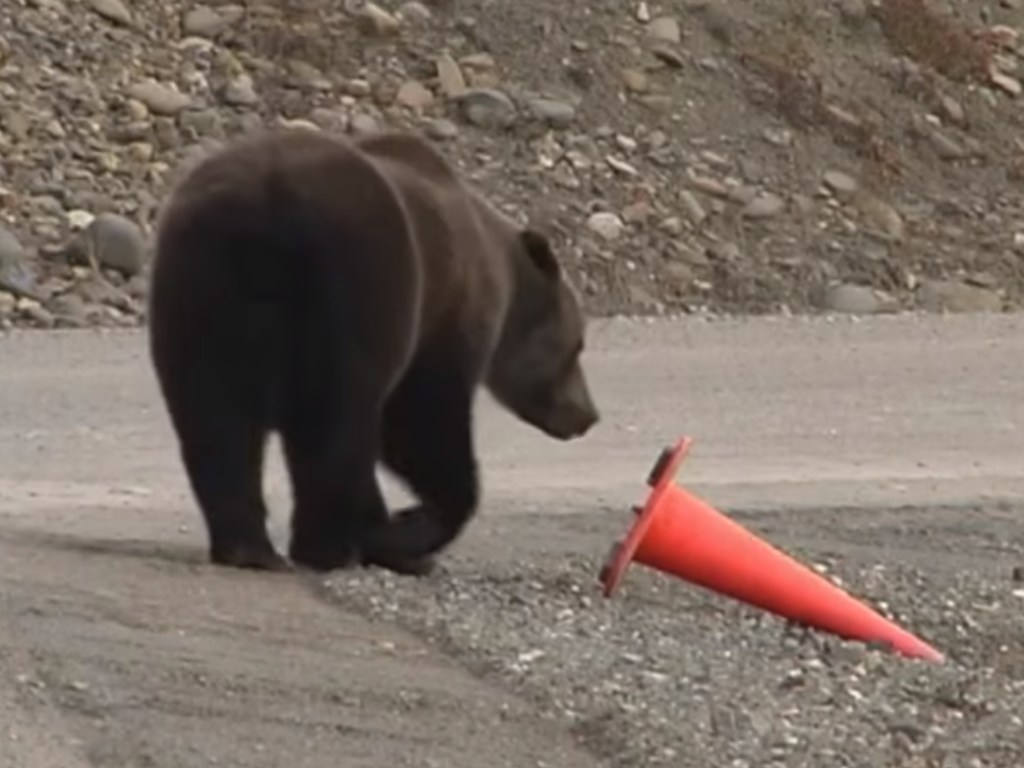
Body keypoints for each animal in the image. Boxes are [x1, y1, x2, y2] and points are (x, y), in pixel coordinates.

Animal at [148, 128, 602, 577]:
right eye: (577, 345)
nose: (587, 414)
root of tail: (265, 206)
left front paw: (388, 536)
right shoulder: (441, 318)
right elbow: (420, 421)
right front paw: (404, 536)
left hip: (202, 284)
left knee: (216, 416)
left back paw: (249, 548)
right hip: (353, 281)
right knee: (331, 420)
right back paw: (325, 549)